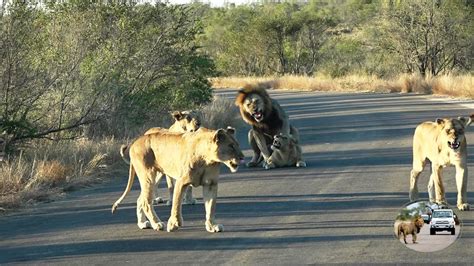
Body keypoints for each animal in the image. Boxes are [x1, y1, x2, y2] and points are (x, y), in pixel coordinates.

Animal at [112, 127, 244, 233]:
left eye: (237, 144)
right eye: (231, 146)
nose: (242, 157)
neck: (208, 159)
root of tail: (134, 143)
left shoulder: (211, 184)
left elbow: (210, 207)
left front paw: (212, 226)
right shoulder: (181, 182)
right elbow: (176, 205)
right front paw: (174, 224)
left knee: (140, 199)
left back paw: (143, 224)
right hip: (148, 175)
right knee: (145, 201)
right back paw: (157, 224)